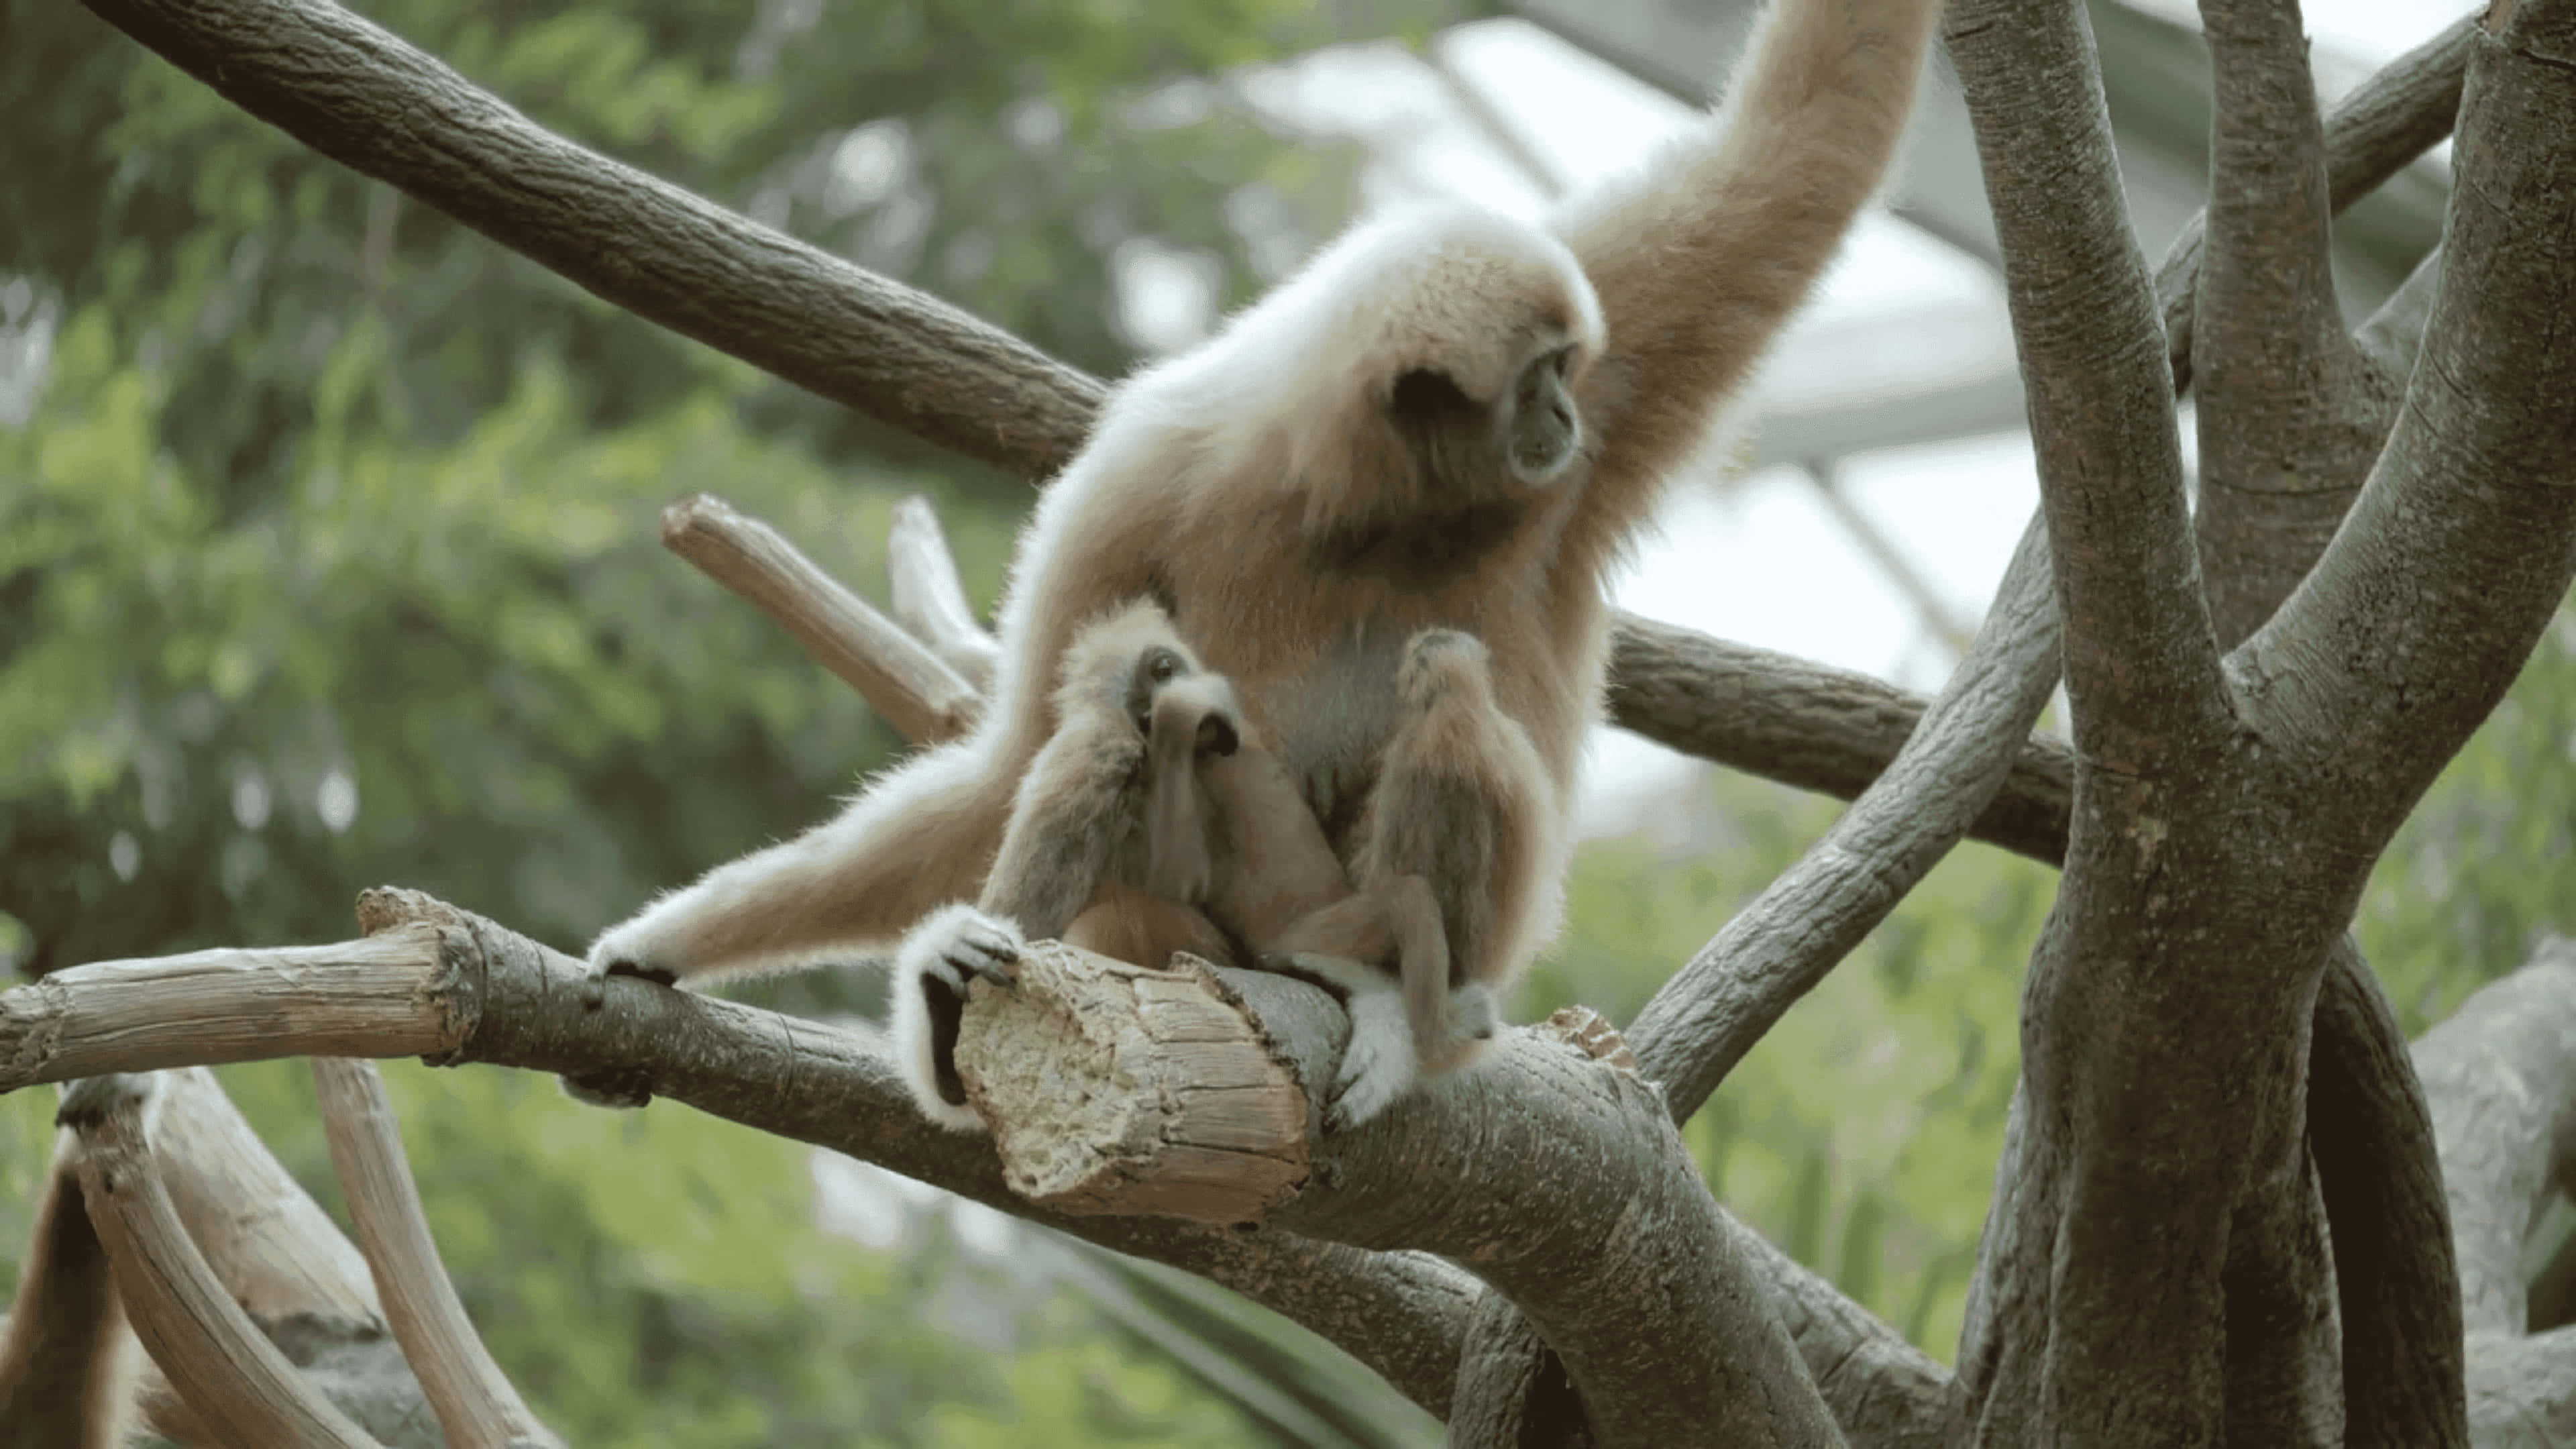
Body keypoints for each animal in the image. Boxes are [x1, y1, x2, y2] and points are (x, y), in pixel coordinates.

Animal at [585, 0, 1945, 1125]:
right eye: (1538, 379)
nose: (1564, 412)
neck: (1375, 508)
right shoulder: (1135, 478)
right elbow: (1016, 755)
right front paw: (667, 942)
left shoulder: (1605, 395)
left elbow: (1795, 152)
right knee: (1121, 723)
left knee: (1449, 700)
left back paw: (1399, 1013)